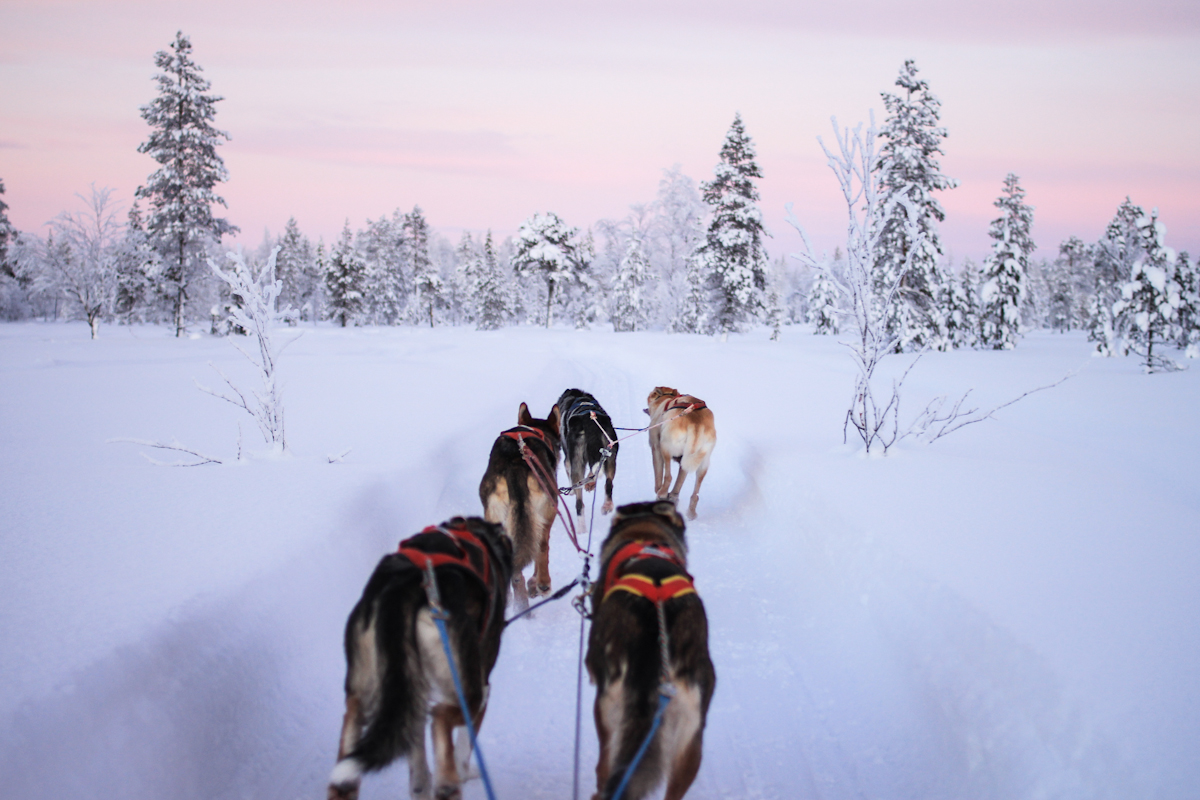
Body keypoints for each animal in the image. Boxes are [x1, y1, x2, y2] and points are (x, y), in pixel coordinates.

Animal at [328, 515, 511, 800]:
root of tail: (404, 585)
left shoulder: (411, 691)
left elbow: (418, 766)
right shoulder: (483, 688)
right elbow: (464, 745)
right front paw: (466, 771)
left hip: (363, 689)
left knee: (351, 735)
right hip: (465, 690)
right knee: (440, 719)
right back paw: (448, 784)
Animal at [648, 386, 710, 522]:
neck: (667, 400)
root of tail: (695, 423)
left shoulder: (655, 448)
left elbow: (658, 478)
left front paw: (661, 494)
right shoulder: (684, 462)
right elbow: (678, 485)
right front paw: (672, 497)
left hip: (665, 446)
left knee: (668, 477)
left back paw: (662, 493)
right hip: (702, 462)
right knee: (695, 494)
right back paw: (691, 512)